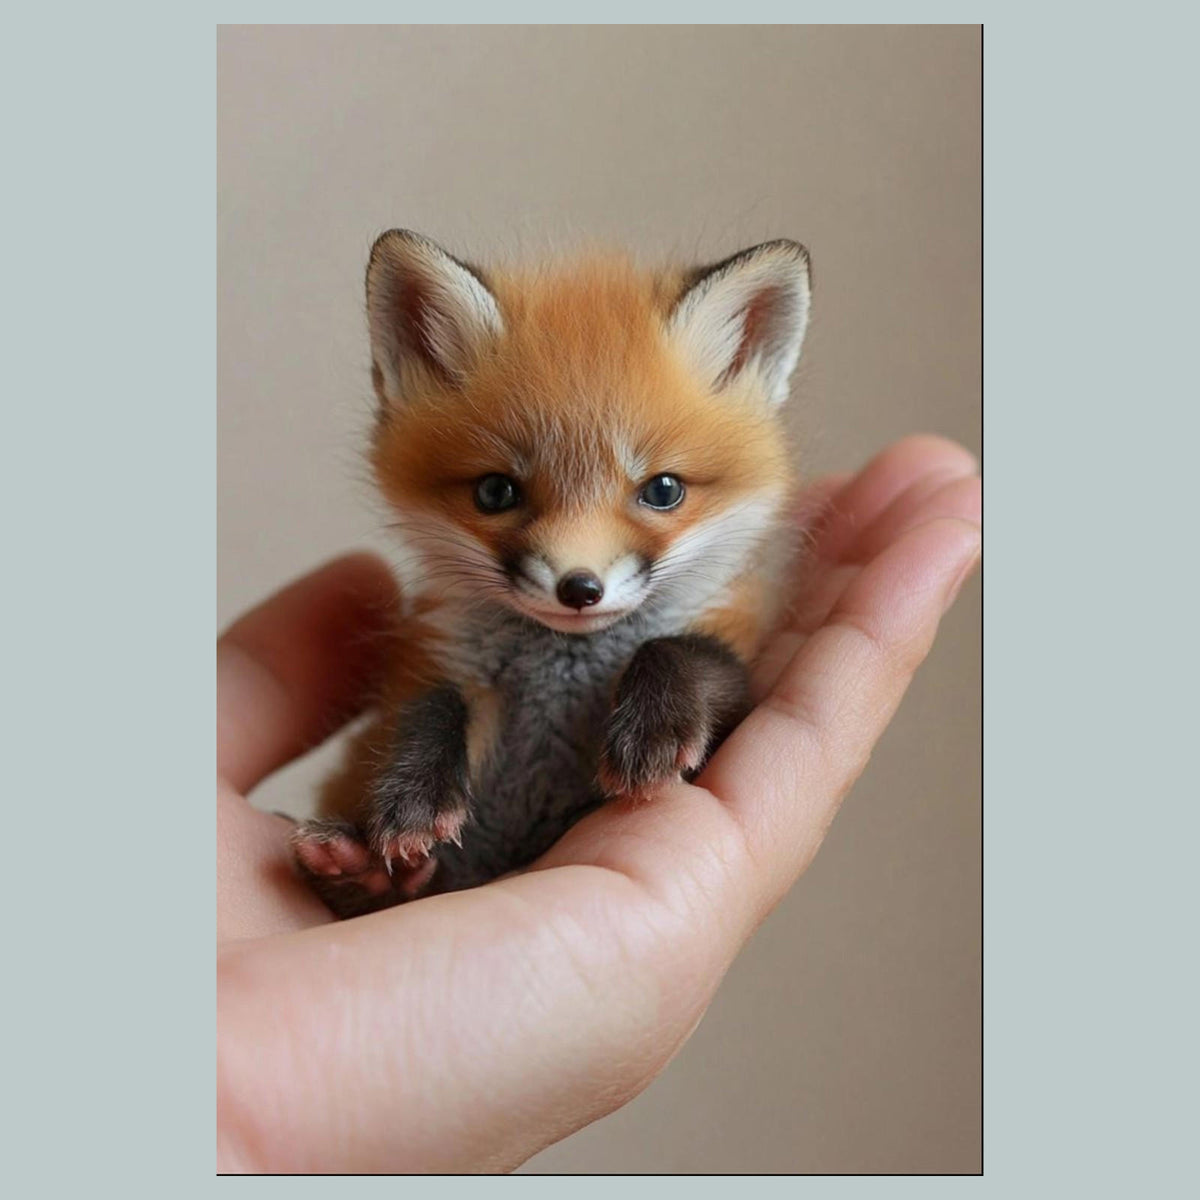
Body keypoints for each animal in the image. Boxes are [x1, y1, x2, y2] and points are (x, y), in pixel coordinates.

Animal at [289, 230, 812, 918]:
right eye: (495, 492)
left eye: (663, 490)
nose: (579, 588)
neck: (562, 663)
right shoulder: (438, 661)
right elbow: (433, 704)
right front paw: (413, 797)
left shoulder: (741, 669)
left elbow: (679, 649)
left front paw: (652, 730)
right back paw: (361, 870)